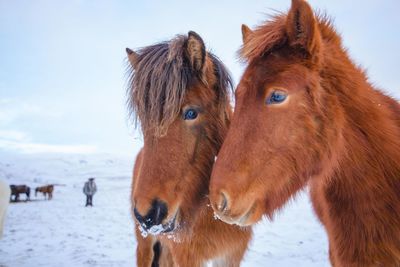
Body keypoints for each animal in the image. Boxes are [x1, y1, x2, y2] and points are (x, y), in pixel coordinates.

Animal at [126, 30, 252, 266]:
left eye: (191, 113)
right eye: (144, 119)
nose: (147, 215)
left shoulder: (231, 256)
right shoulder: (186, 256)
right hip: (145, 246)